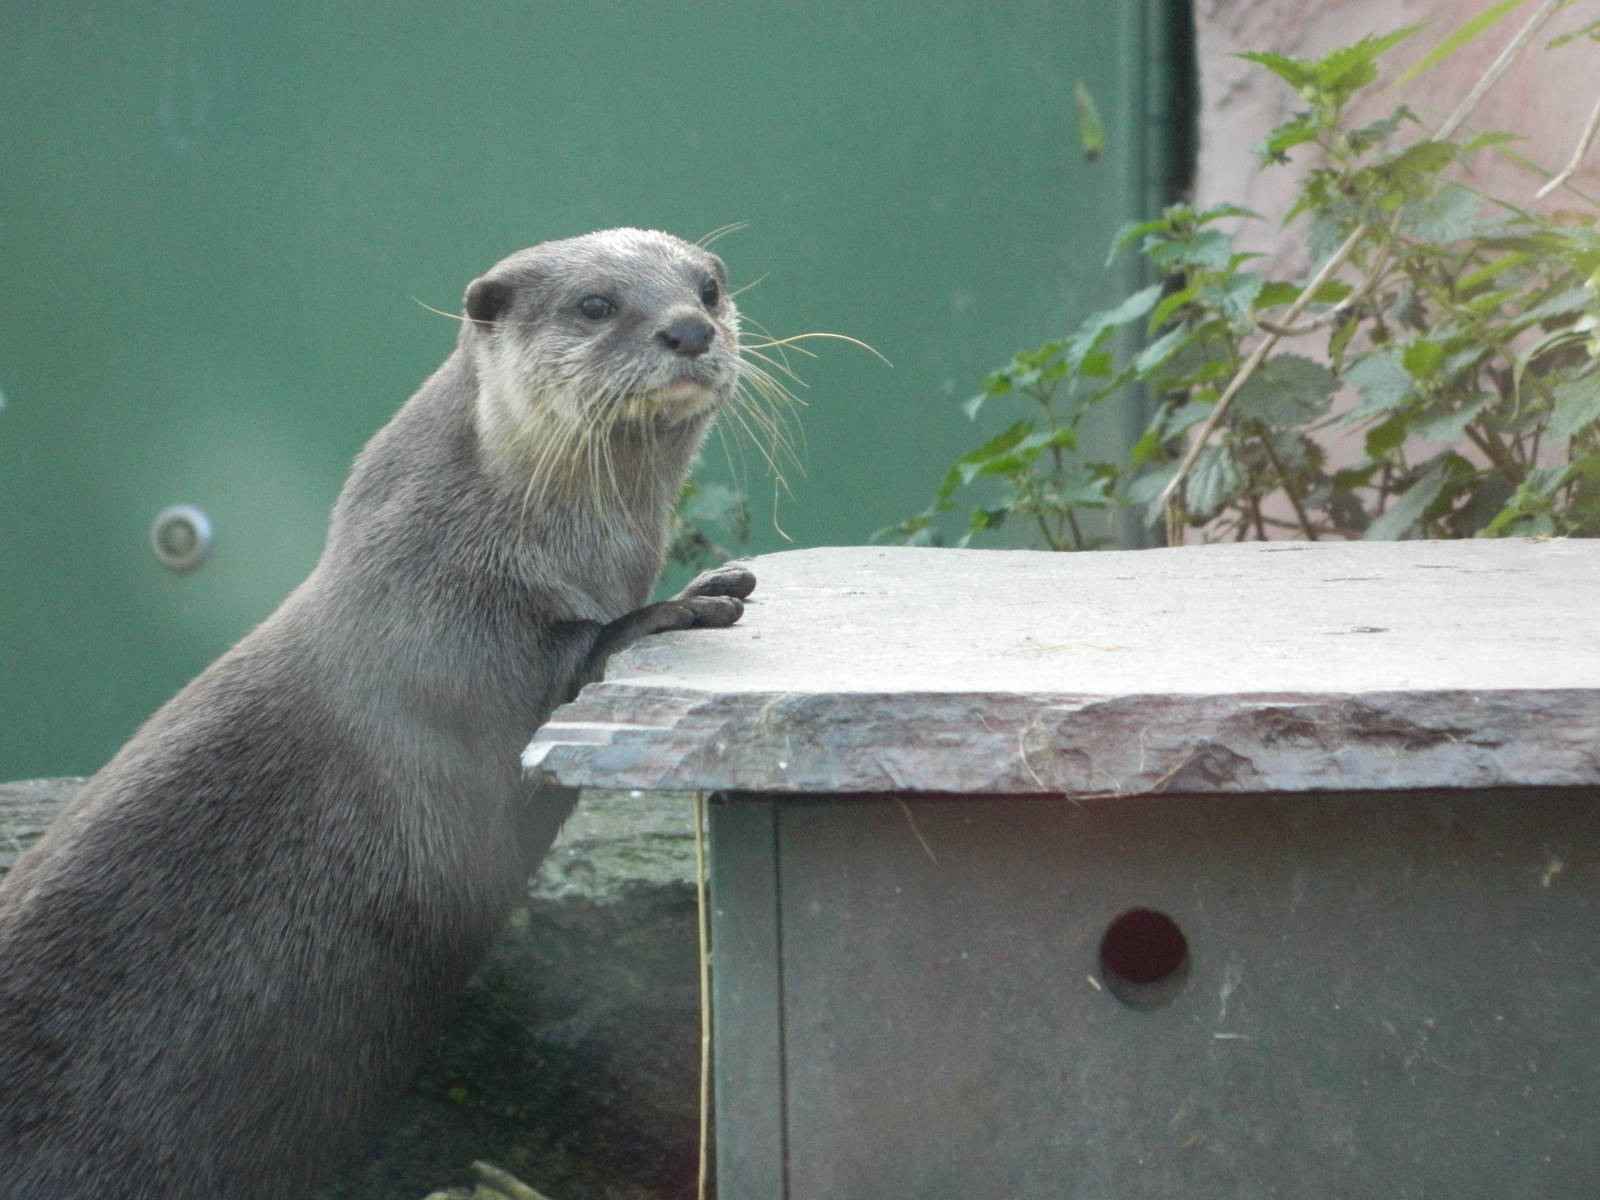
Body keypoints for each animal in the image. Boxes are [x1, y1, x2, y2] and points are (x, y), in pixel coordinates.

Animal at [0, 229, 756, 1198]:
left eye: (707, 287)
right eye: (595, 304)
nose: (689, 329)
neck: (465, 540)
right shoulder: (434, 646)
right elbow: (548, 685)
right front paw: (686, 603)